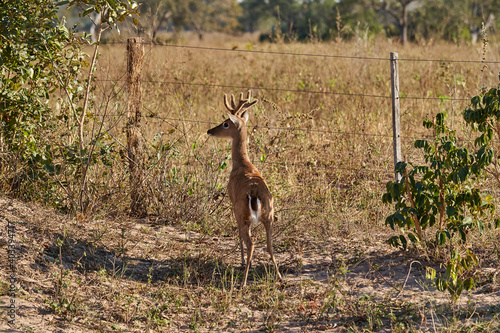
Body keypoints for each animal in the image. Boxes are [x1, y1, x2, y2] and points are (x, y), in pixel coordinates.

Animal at [207, 90, 282, 286]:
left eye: (225, 123)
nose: (209, 131)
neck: (242, 164)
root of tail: (255, 194)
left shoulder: (233, 204)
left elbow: (238, 235)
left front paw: (240, 261)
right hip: (269, 217)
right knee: (270, 245)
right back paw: (279, 276)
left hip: (243, 213)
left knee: (251, 243)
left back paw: (243, 281)